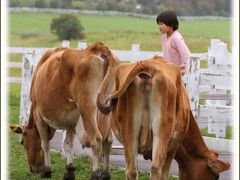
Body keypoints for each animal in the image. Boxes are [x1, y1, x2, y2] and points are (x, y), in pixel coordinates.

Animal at [10, 41, 119, 179]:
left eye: (22, 142)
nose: (33, 169)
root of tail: (95, 47)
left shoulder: (38, 115)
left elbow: (45, 144)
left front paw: (47, 170)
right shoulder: (71, 122)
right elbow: (67, 144)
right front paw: (69, 170)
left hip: (87, 108)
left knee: (96, 139)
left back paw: (95, 174)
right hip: (106, 110)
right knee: (108, 141)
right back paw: (105, 174)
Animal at [97, 55, 231, 179]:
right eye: (215, 176)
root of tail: (149, 67)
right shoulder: (172, 148)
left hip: (130, 134)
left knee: (132, 171)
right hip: (161, 134)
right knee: (156, 169)